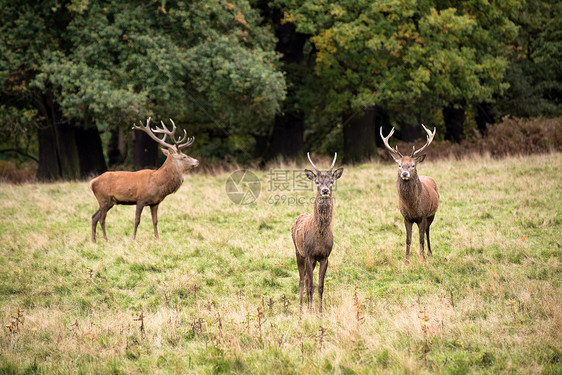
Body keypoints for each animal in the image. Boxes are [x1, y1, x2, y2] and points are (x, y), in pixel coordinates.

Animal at [290, 153, 344, 314]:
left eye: (331, 181)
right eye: (317, 182)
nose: (325, 191)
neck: (319, 237)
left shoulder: (325, 256)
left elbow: (320, 286)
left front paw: (319, 312)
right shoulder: (309, 254)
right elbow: (310, 286)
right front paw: (310, 312)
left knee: (307, 279)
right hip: (298, 252)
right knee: (302, 280)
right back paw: (301, 309)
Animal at [380, 125, 438, 266]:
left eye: (412, 165)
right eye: (399, 165)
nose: (405, 174)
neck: (413, 207)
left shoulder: (423, 216)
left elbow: (421, 239)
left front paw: (422, 259)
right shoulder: (406, 217)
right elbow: (408, 239)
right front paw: (406, 262)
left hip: (432, 214)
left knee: (427, 231)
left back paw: (429, 253)